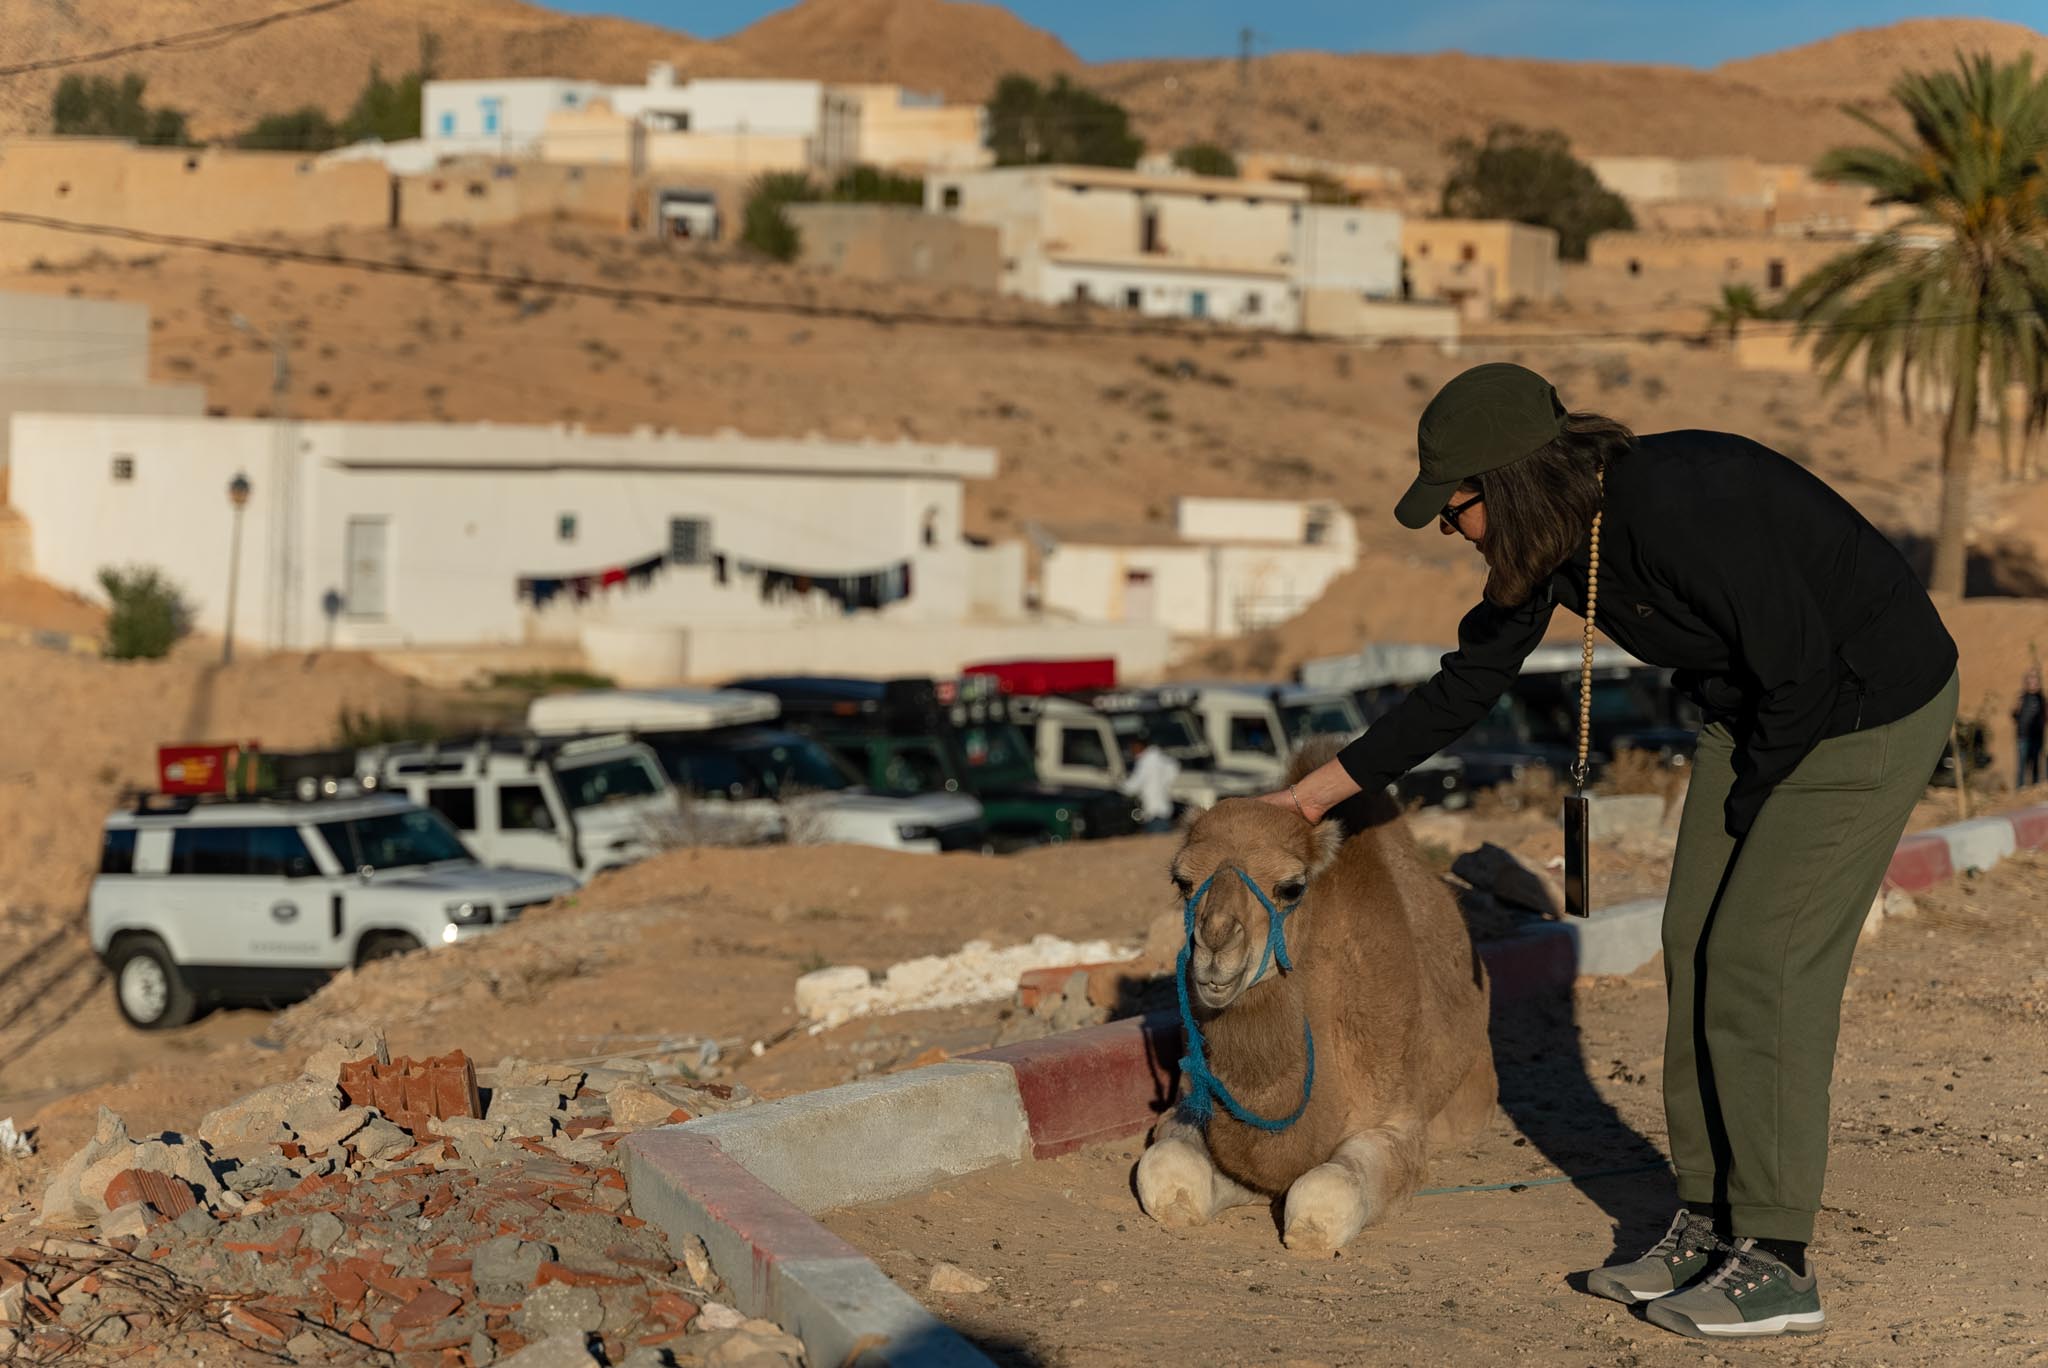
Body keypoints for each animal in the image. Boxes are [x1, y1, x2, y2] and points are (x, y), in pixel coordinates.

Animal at [1130, 741, 1499, 1253]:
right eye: (1182, 882)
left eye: (1291, 887)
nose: (1216, 942)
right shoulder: (1188, 1102)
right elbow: (1166, 1169)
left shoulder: (1399, 1123)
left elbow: (1324, 1193)